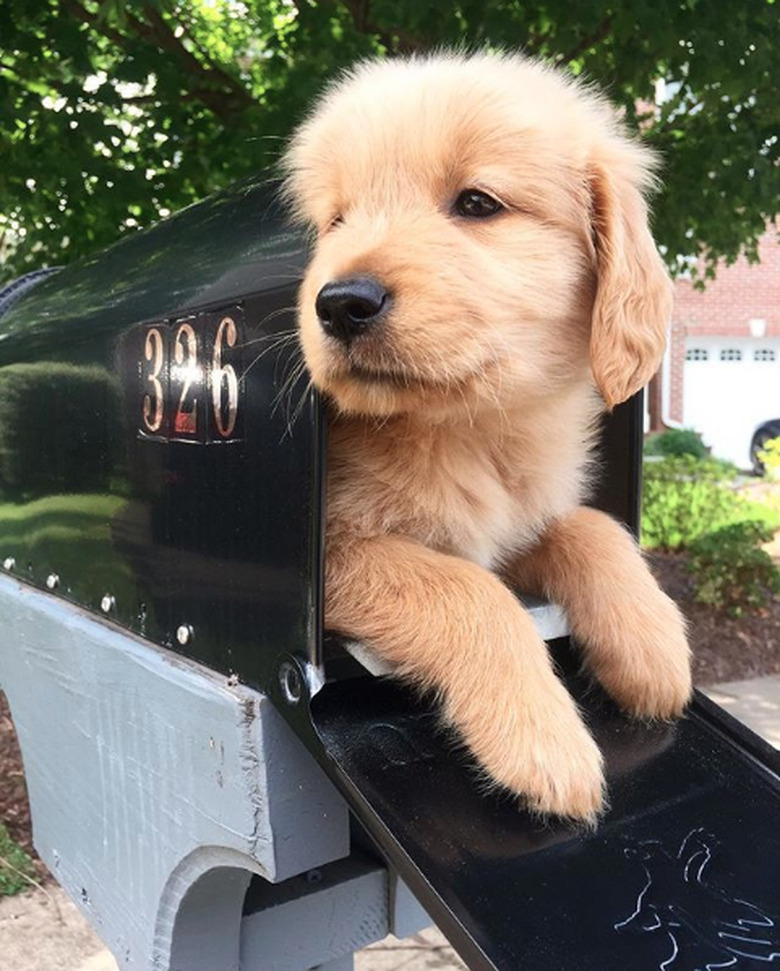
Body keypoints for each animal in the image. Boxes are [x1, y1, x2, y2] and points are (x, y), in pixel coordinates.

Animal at [284, 53, 692, 824]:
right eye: (336, 221)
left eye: (477, 204)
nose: (340, 303)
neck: (471, 431)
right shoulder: (337, 553)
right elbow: (468, 590)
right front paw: (543, 741)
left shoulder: (516, 525)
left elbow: (588, 527)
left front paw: (651, 644)